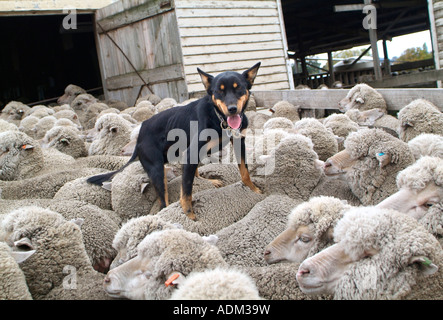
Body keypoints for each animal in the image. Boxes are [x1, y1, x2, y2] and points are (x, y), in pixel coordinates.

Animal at [87, 63, 264, 221]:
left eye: (239, 88)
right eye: (219, 92)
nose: (232, 109)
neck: (218, 118)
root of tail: (140, 136)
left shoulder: (239, 143)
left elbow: (245, 172)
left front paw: (253, 189)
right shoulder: (191, 154)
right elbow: (186, 189)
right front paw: (188, 212)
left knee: (194, 174)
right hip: (157, 170)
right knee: (163, 202)